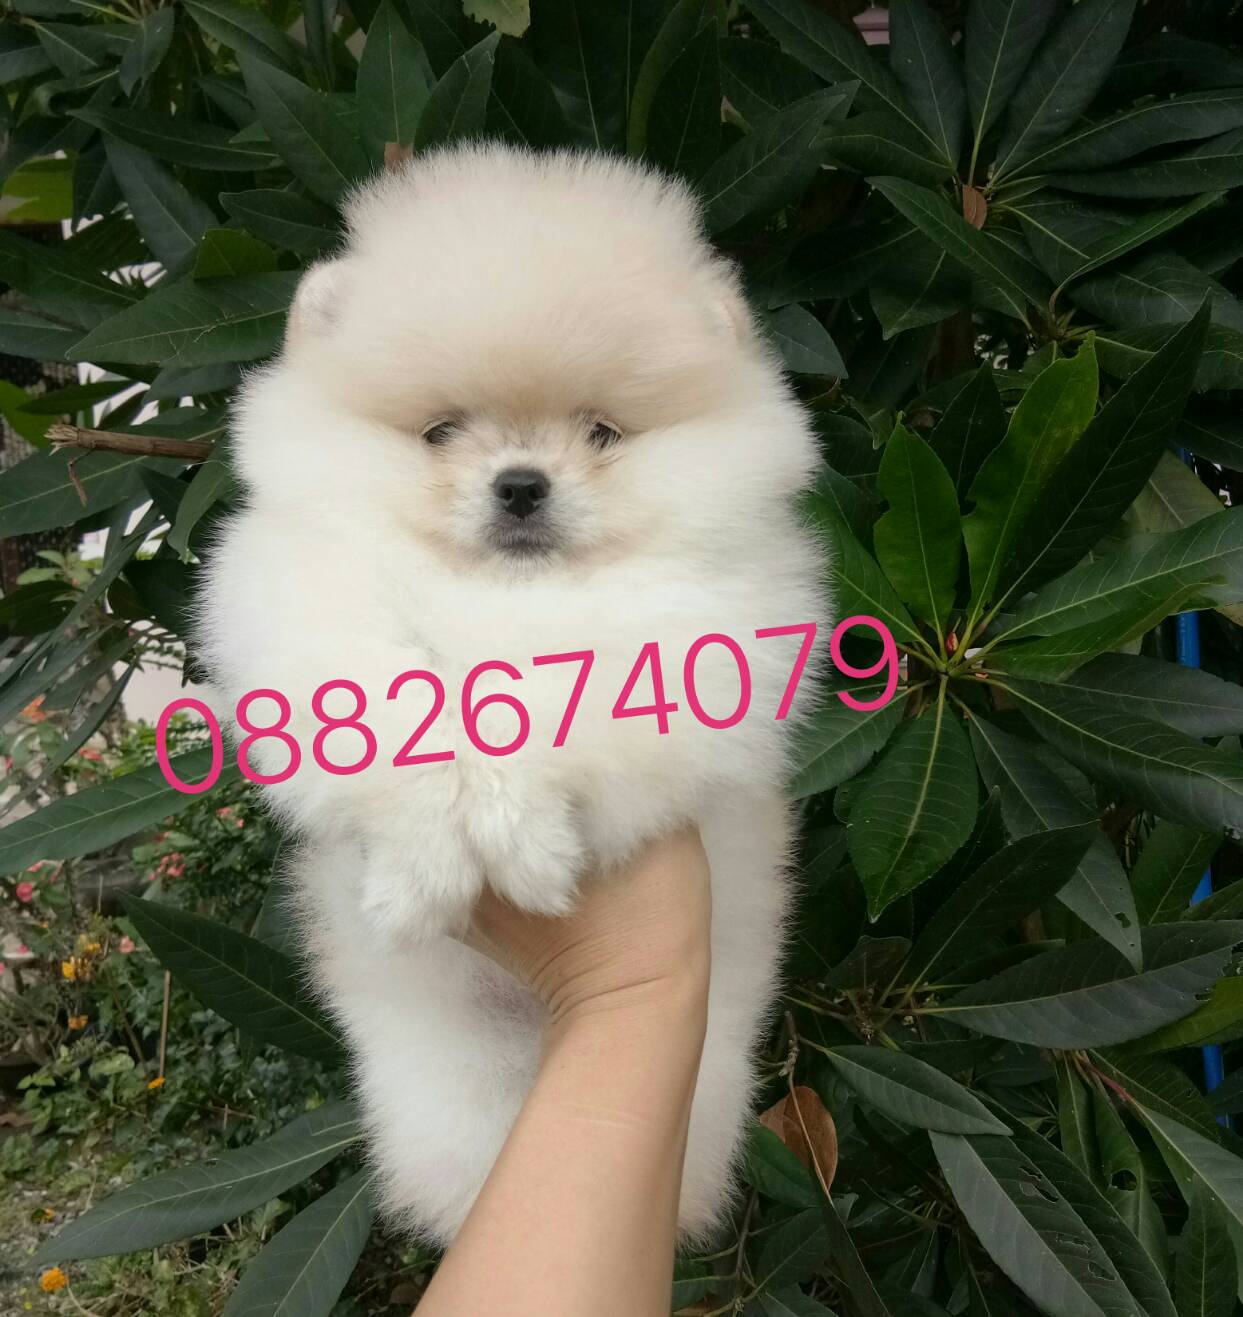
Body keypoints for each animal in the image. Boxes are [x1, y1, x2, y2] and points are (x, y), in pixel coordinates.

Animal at [196, 143, 828, 1244]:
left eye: (602, 432)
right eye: (441, 431)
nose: (522, 483)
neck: (506, 593)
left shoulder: (702, 634)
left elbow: (562, 712)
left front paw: (522, 839)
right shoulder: (304, 604)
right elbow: (392, 707)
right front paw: (422, 868)